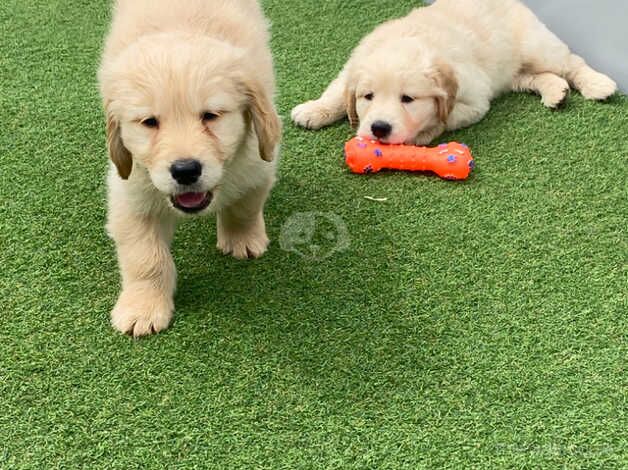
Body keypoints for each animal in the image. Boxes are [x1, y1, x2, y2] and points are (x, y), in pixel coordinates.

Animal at [97, 0, 280, 338]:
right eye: (149, 122)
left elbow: (244, 206)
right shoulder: (130, 190)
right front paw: (143, 307)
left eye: (211, 116)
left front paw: (242, 239)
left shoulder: (259, 161)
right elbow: (145, 257)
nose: (185, 170)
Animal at [292, 0, 616, 144]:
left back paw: (598, 84)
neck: (407, 39)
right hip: (512, 73)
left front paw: (420, 135)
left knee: (571, 62)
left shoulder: (474, 102)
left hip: (537, 46)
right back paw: (555, 92)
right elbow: (337, 91)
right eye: (367, 96)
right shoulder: (353, 64)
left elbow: (443, 119)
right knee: (535, 77)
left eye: (408, 99)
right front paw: (313, 109)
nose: (379, 128)